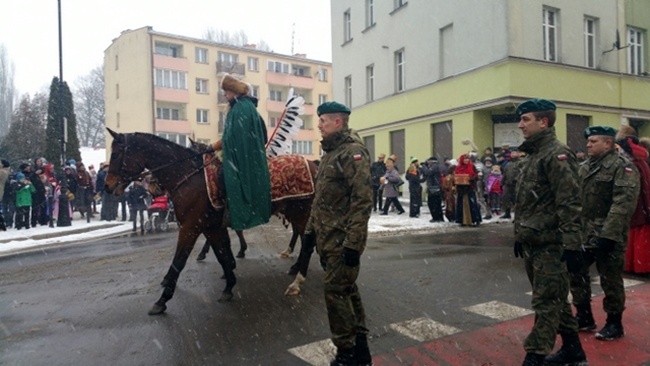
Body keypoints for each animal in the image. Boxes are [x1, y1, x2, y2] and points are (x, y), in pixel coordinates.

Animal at [105, 129, 318, 314]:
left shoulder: (191, 227)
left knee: (307, 243)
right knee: (304, 239)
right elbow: (221, 252)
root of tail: (314, 164)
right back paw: (295, 268)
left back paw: (297, 280)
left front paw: (162, 300)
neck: (190, 177)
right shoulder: (210, 227)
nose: (107, 187)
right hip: (295, 213)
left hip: (303, 213)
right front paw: (229, 284)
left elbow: (179, 261)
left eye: (115, 155)